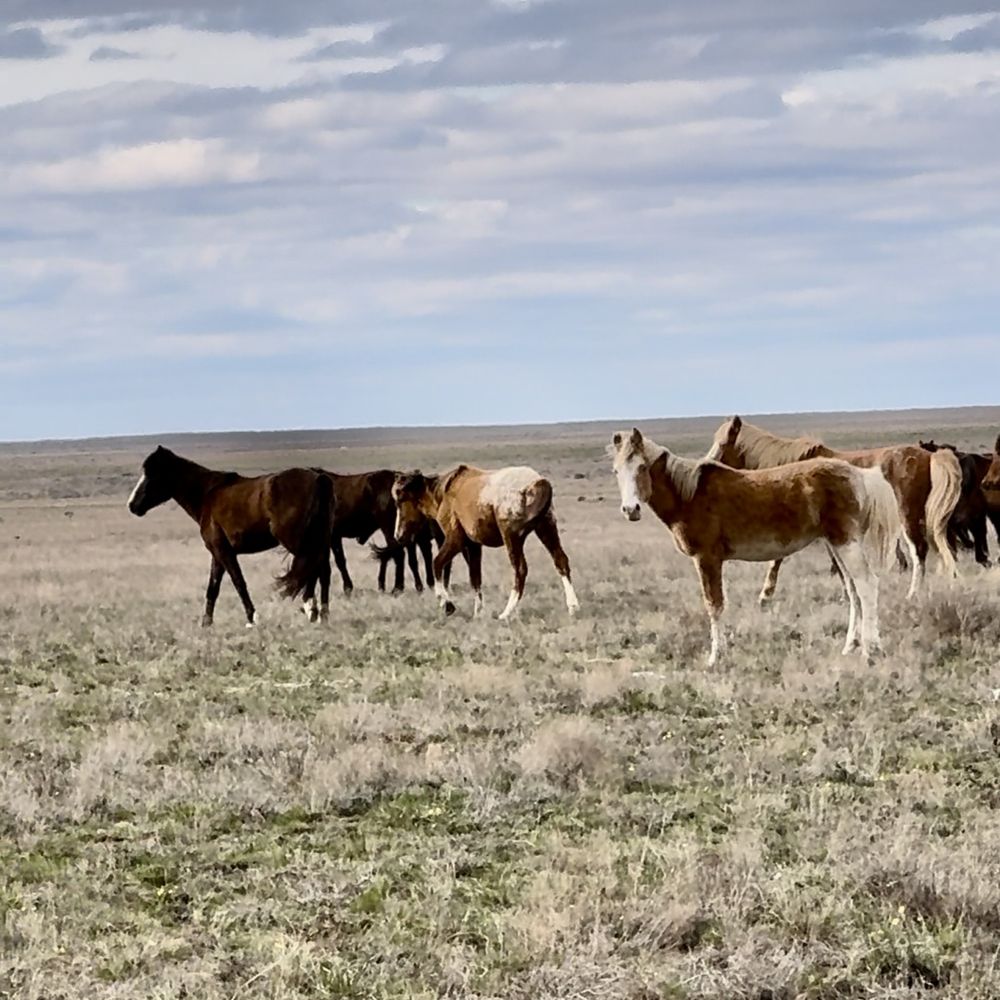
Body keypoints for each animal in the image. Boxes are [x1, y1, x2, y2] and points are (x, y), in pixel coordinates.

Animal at [127, 446, 332, 624]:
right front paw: (206, 623)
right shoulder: (217, 553)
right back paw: (322, 614)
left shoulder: (224, 552)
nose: (132, 505)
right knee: (323, 571)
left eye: (151, 474)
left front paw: (252, 618)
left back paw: (311, 609)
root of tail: (318, 478)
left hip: (298, 541)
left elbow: (238, 582)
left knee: (313, 569)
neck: (206, 494)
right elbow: (213, 588)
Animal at [388, 466, 580, 620]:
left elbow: (437, 564)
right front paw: (478, 612)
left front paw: (447, 604)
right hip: (546, 529)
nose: (398, 535)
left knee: (520, 570)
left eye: (400, 499)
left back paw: (505, 614)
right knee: (561, 561)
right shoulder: (473, 546)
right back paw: (573, 607)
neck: (445, 492)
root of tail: (537, 482)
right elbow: (475, 578)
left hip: (512, 537)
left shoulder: (456, 540)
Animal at [612, 428, 904, 668]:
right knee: (853, 590)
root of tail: (859, 475)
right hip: (836, 545)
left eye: (641, 467)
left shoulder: (706, 559)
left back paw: (871, 650)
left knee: (866, 585)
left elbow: (714, 605)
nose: (630, 510)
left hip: (845, 543)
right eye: (616, 471)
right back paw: (850, 646)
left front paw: (716, 657)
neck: (690, 495)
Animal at [704, 416, 960, 600]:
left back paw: (913, 594)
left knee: (919, 551)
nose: (705, 466)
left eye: (723, 443)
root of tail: (929, 456)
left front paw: (765, 596)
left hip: (907, 516)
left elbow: (778, 559)